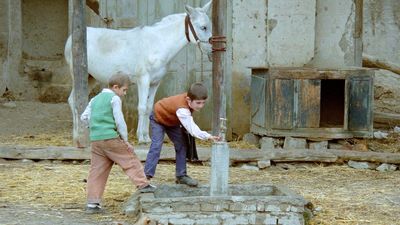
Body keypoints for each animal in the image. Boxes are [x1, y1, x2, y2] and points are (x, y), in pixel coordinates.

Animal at [65, 1, 214, 144]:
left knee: (74, 100)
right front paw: (141, 138)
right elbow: (141, 107)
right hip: (79, 76)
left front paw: (147, 138)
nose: (212, 51)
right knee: (74, 101)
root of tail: (71, 39)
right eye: (203, 27)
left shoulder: (154, 83)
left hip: (91, 78)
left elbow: (148, 108)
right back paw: (77, 136)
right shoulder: (143, 80)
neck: (157, 44)